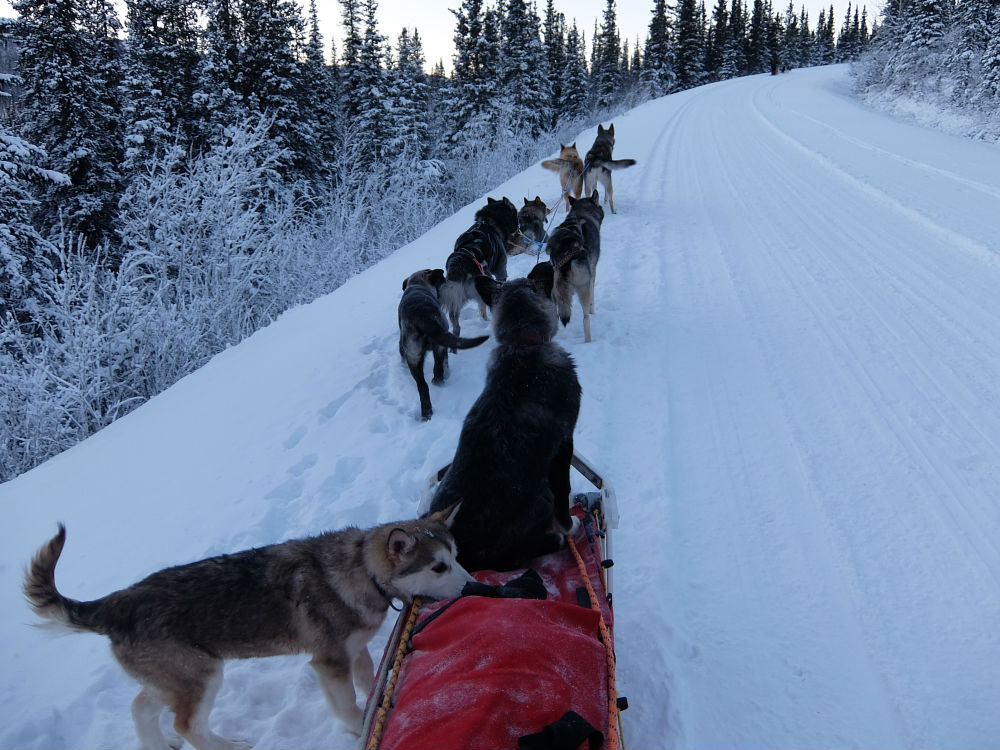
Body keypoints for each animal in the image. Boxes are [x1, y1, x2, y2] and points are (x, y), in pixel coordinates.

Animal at [23, 512, 472, 750]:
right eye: (438, 567)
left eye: (455, 556)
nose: (471, 586)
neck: (361, 570)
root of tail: (116, 602)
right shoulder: (329, 661)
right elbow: (347, 705)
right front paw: (359, 728)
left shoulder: (355, 649)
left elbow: (371, 680)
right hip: (202, 676)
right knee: (188, 725)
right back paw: (226, 747)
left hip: (174, 676)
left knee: (140, 707)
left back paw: (157, 744)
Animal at [400, 270, 490, 424]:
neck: (417, 283)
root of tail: (422, 317)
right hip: (438, 345)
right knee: (438, 369)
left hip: (413, 356)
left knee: (423, 385)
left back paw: (426, 412)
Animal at [426, 262, 584, 572]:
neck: (523, 342)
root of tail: (463, 555)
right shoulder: (563, 445)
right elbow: (564, 497)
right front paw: (570, 527)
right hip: (541, 495)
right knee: (508, 558)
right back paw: (553, 540)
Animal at [442, 197, 520, 338]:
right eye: (515, 213)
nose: (518, 225)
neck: (489, 223)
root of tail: (459, 264)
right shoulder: (500, 265)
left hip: (458, 297)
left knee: (456, 317)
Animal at [544, 188, 604, 344]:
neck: (580, 214)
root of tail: (565, 254)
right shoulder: (592, 272)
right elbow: (592, 299)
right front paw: (593, 311)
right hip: (582, 287)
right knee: (585, 319)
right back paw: (588, 341)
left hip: (556, 290)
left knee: (556, 313)